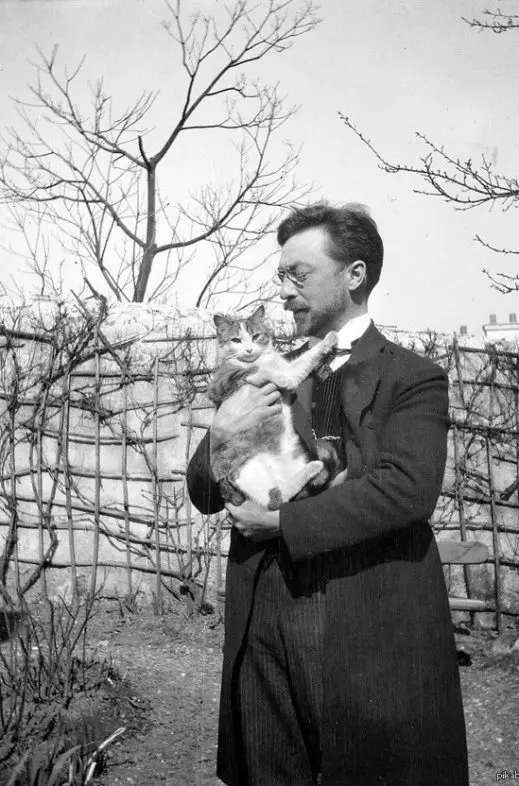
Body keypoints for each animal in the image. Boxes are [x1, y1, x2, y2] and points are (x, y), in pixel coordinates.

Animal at [207, 304, 344, 511]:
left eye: (256, 336)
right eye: (236, 340)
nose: (248, 350)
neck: (257, 360)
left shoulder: (289, 369)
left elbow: (306, 359)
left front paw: (329, 339)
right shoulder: (221, 384)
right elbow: (259, 372)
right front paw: (281, 379)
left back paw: (313, 470)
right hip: (247, 468)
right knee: (275, 499)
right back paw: (312, 468)